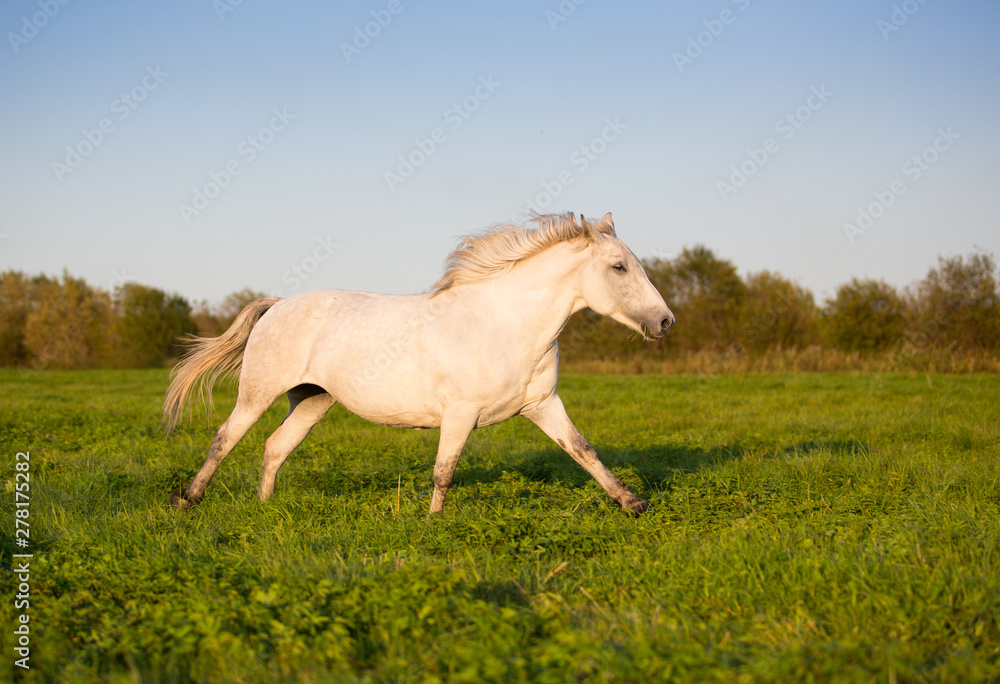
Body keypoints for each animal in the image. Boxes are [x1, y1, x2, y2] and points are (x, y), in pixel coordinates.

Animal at [163, 211, 674, 514]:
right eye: (618, 267)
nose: (666, 322)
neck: (506, 325)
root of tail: (278, 304)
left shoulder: (543, 405)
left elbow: (583, 451)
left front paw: (633, 502)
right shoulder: (461, 413)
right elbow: (444, 470)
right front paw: (434, 524)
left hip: (313, 400)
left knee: (275, 447)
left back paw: (266, 508)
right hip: (258, 392)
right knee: (224, 439)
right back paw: (187, 500)